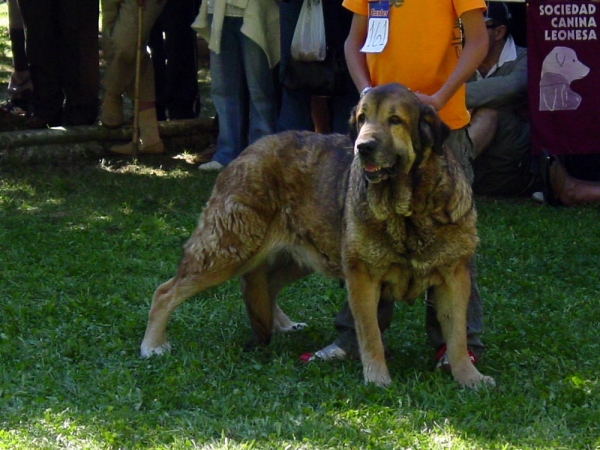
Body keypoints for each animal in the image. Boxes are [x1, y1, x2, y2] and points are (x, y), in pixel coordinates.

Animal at [142, 84, 496, 390]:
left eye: (395, 120)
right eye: (362, 119)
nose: (363, 147)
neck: (407, 209)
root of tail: (248, 149)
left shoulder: (454, 277)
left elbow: (457, 336)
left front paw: (469, 378)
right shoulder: (362, 277)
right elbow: (370, 334)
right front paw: (378, 379)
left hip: (299, 256)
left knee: (263, 283)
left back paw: (281, 324)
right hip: (229, 248)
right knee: (165, 291)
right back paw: (152, 345)